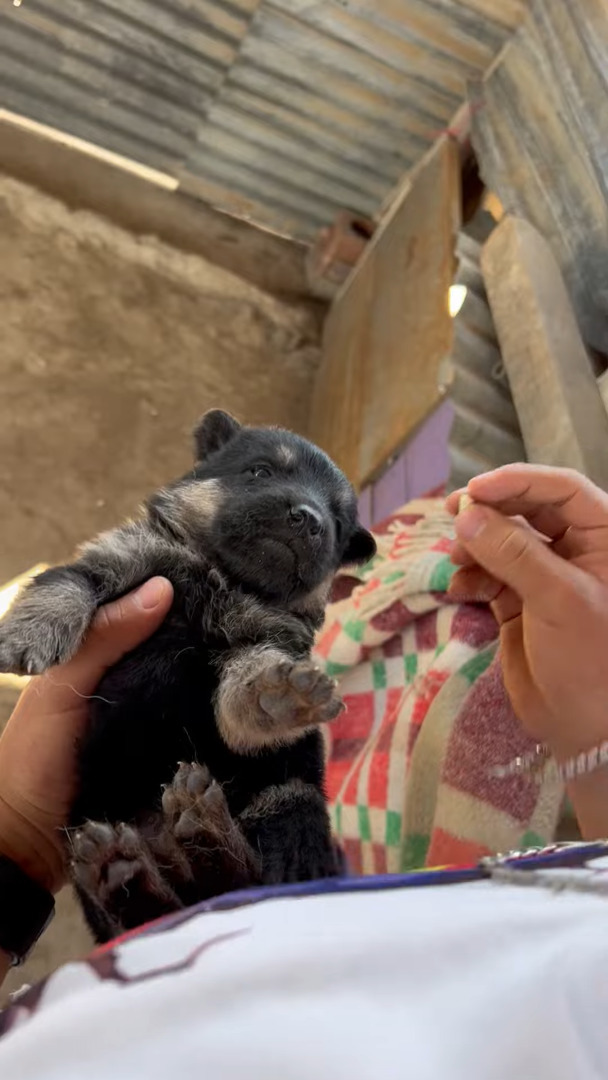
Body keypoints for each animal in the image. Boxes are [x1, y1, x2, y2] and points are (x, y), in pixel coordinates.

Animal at [0, 408, 375, 941]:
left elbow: (242, 690)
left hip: (290, 799)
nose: (309, 518)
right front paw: (28, 630)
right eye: (260, 471)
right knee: (144, 911)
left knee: (242, 878)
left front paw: (276, 694)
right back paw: (126, 868)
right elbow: (67, 581)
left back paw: (203, 832)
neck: (224, 577)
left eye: (339, 522)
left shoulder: (261, 641)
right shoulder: (124, 558)